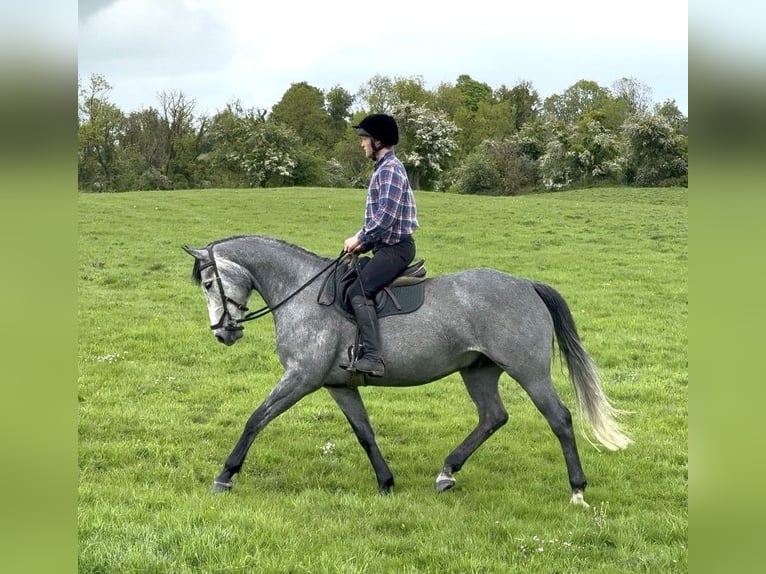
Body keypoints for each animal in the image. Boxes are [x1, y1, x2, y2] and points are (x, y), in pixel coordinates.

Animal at [183, 235, 630, 505]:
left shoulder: (301, 378)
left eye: (208, 284)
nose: (223, 332)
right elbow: (364, 432)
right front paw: (385, 482)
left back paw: (577, 490)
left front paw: (225, 475)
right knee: (492, 417)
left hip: (530, 372)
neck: (302, 293)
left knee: (560, 419)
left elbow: (256, 419)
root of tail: (525, 285)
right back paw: (447, 472)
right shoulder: (337, 385)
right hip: (478, 371)